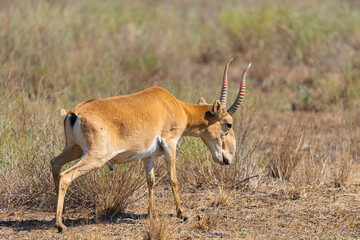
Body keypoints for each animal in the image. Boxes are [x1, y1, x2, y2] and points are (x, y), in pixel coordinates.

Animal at [50, 57, 252, 232]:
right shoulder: (170, 145)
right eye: (228, 124)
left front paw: (152, 213)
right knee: (66, 176)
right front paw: (183, 214)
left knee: (55, 164)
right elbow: (173, 179)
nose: (228, 158)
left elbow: (151, 181)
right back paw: (60, 224)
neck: (174, 105)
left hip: (74, 150)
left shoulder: (147, 155)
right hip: (95, 157)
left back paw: (59, 216)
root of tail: (74, 112)